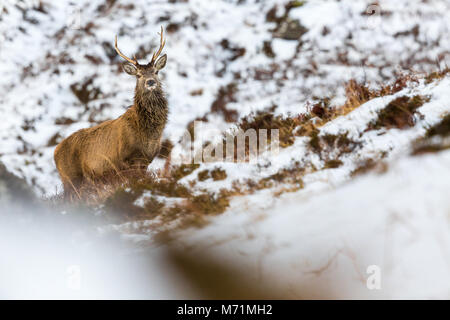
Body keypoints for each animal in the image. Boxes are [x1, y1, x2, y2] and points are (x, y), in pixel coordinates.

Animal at [54, 27, 169, 198]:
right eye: (138, 75)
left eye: (156, 72)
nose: (150, 82)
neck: (147, 133)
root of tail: (54, 152)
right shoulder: (126, 159)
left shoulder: (146, 161)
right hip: (71, 178)